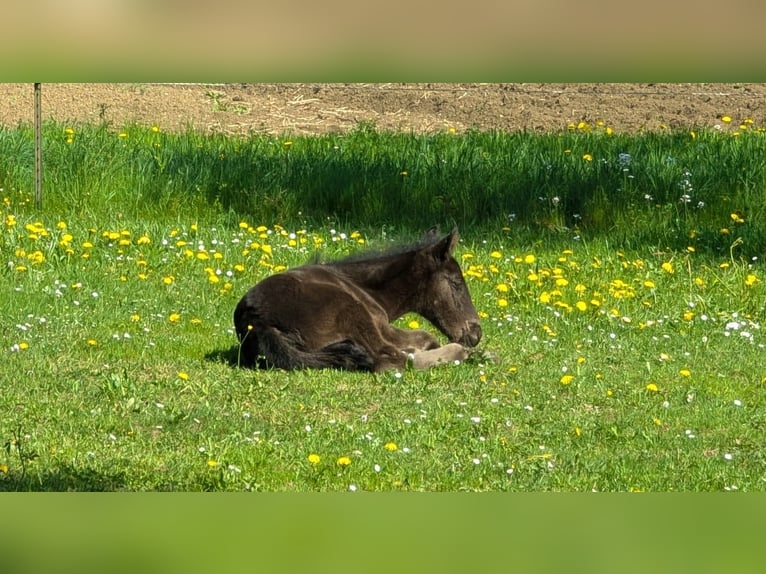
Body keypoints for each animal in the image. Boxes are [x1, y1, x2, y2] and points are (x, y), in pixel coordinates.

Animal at [233, 227, 482, 372]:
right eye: (456, 283)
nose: (476, 334)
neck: (366, 287)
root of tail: (257, 321)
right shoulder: (382, 325)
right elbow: (426, 336)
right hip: (352, 311)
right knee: (390, 360)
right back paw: (458, 352)